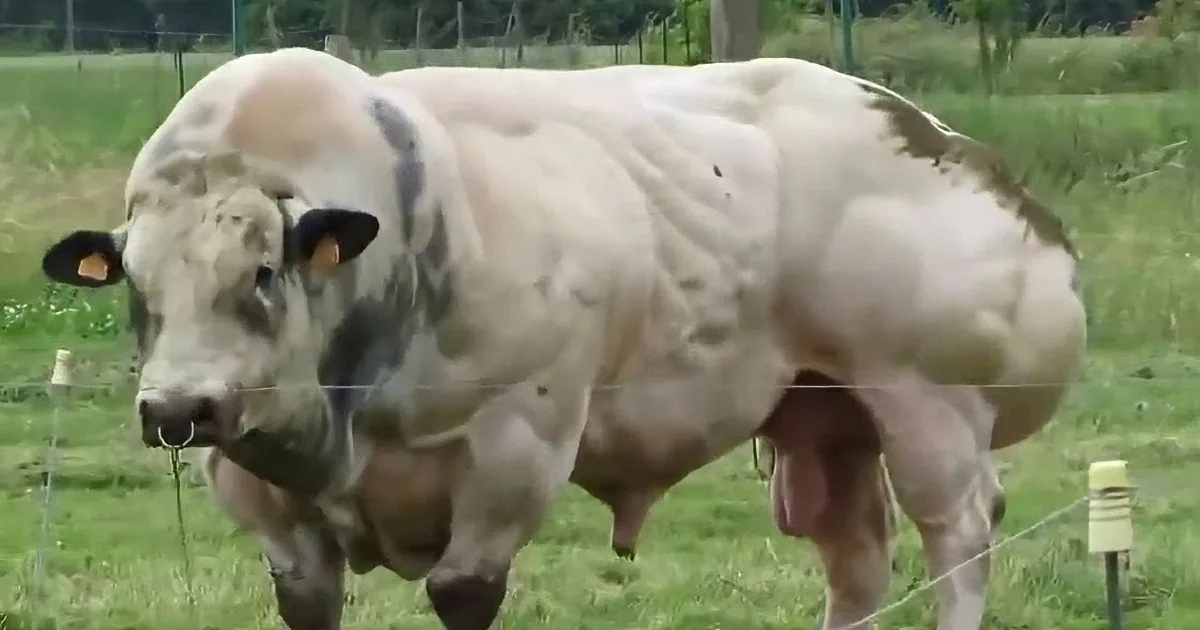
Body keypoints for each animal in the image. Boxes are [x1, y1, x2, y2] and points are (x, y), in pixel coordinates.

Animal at [38, 48, 1085, 630]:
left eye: (260, 271)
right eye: (134, 283)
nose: (178, 407)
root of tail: (945, 140)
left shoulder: (516, 449)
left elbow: (464, 592)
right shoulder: (258, 493)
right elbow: (309, 599)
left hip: (931, 408)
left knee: (958, 538)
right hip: (826, 417)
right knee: (858, 558)